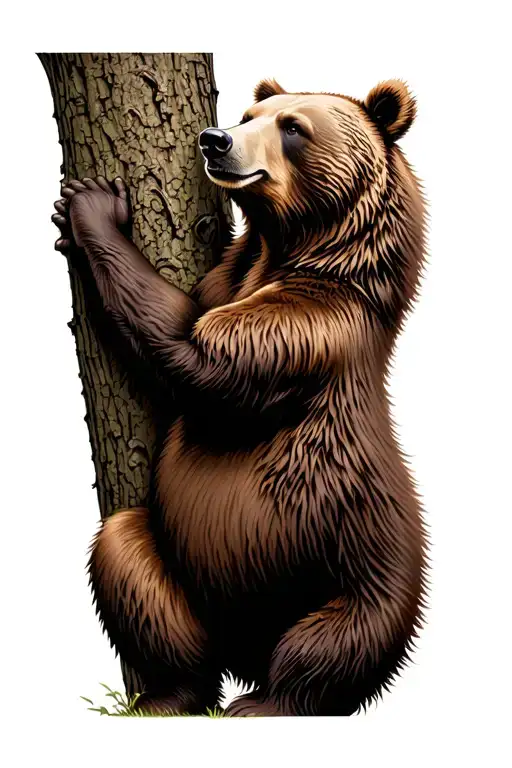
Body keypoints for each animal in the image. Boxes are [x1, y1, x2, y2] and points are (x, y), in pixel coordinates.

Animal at [51, 77, 427, 717]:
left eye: (293, 127)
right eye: (249, 114)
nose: (215, 139)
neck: (290, 249)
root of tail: (245, 652)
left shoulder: (310, 326)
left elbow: (194, 346)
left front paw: (93, 205)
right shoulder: (229, 279)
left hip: (364, 578)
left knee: (330, 648)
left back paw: (264, 703)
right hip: (178, 573)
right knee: (130, 565)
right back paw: (168, 696)